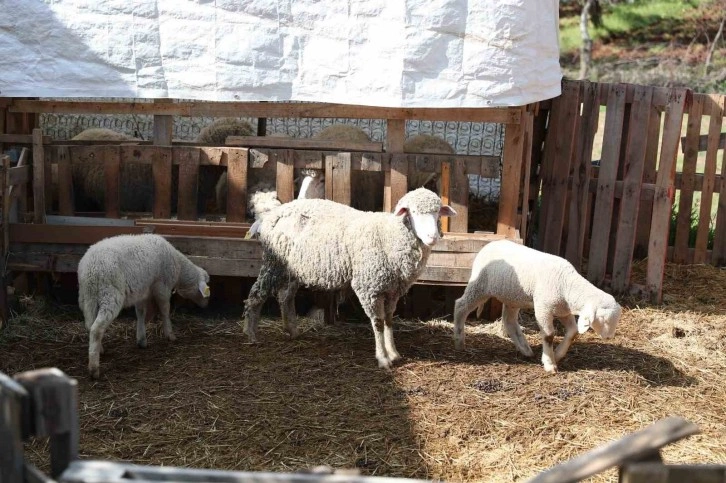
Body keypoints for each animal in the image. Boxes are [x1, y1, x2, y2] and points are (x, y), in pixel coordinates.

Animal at [78, 233, 212, 378]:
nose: (207, 304)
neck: (179, 266)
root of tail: (91, 268)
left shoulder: (142, 291)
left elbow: (141, 313)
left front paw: (141, 339)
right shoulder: (162, 287)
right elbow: (165, 310)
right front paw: (170, 334)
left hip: (88, 297)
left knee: (90, 325)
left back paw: (99, 349)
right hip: (109, 295)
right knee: (96, 329)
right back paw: (94, 368)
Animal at [247, 187, 458, 368]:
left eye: (438, 212)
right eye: (413, 212)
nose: (432, 237)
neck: (389, 234)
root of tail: (272, 213)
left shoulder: (393, 290)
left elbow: (389, 320)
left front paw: (394, 352)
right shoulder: (369, 287)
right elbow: (378, 323)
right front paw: (383, 358)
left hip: (293, 268)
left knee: (285, 297)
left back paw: (292, 331)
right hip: (274, 263)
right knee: (256, 295)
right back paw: (251, 334)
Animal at [452, 240, 624, 372]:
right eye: (603, 319)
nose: (610, 337)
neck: (567, 284)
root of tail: (489, 244)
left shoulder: (561, 309)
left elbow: (573, 331)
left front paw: (558, 353)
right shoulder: (543, 308)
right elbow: (549, 335)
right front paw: (549, 363)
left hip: (512, 296)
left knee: (509, 321)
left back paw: (525, 349)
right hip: (480, 285)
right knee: (461, 306)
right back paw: (459, 341)